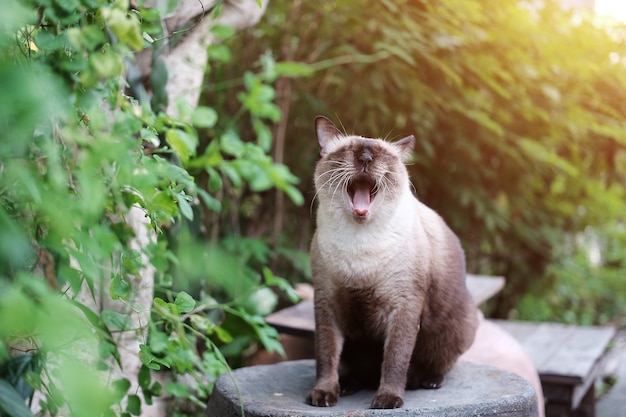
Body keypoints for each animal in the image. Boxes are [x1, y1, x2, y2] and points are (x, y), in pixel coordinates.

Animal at [304, 115, 476, 408]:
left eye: (382, 154)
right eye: (349, 150)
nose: (365, 158)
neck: (358, 245)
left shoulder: (403, 307)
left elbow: (395, 361)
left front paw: (388, 399)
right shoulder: (326, 302)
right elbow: (326, 357)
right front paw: (324, 394)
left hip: (459, 326)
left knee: (436, 363)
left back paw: (426, 381)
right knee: (351, 368)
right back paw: (348, 385)